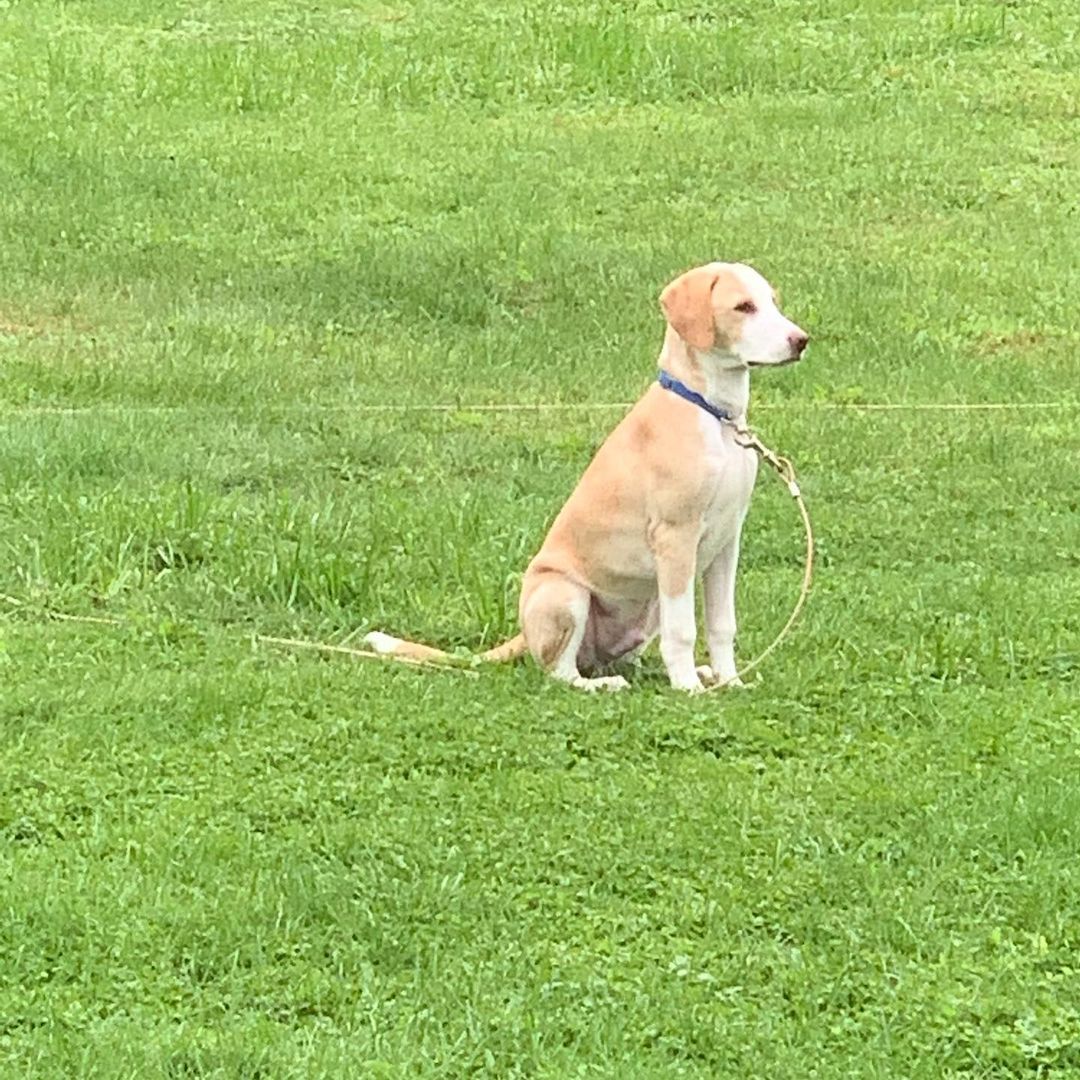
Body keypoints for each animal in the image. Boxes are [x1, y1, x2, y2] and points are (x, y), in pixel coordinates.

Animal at [367, 265, 807, 695]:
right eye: (743, 306)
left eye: (772, 301)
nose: (801, 340)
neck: (714, 415)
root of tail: (523, 634)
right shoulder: (675, 536)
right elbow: (684, 630)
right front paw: (688, 689)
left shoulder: (727, 540)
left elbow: (721, 624)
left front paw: (730, 680)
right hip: (567, 594)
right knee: (562, 672)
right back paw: (608, 684)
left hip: (649, 607)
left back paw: (691, 673)